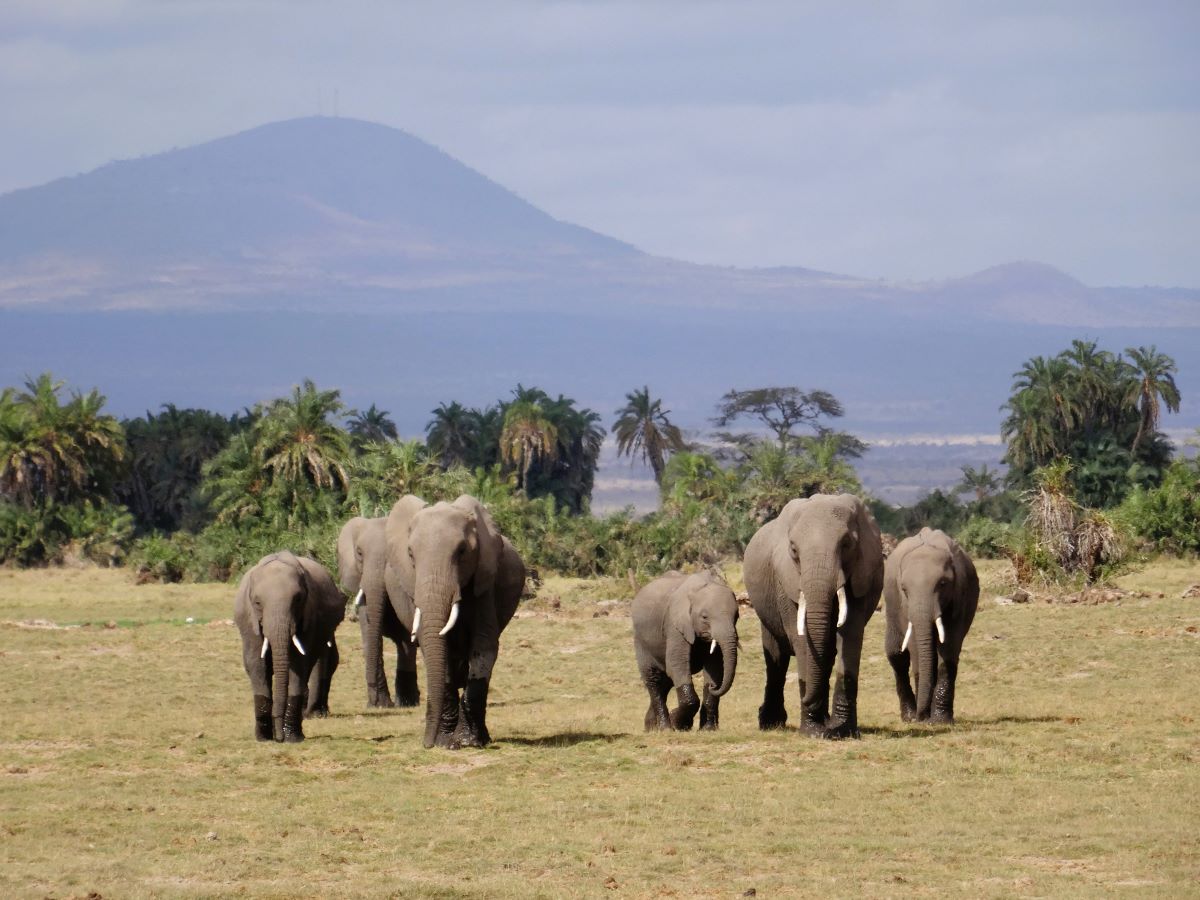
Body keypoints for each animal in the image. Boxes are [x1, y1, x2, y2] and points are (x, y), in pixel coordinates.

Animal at [233, 551, 345, 742]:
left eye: (298, 599)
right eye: (257, 603)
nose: (279, 738)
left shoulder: (309, 616)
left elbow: (299, 664)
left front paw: (292, 738)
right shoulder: (248, 620)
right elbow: (256, 664)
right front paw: (263, 738)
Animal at [384, 494, 526, 749]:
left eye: (462, 551)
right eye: (410, 554)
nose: (426, 743)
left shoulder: (484, 582)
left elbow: (483, 648)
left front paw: (471, 742)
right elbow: (443, 655)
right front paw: (445, 743)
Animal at [631, 571, 739, 731]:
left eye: (736, 616)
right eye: (704, 617)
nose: (714, 687)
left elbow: (715, 668)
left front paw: (707, 730)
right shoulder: (675, 625)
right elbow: (677, 664)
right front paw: (678, 723)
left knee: (665, 682)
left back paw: (650, 729)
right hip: (641, 641)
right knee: (653, 679)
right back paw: (665, 728)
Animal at [743, 493, 884, 739]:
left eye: (846, 544)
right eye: (793, 550)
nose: (808, 700)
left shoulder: (862, 573)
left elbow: (850, 636)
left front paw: (844, 731)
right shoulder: (785, 582)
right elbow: (801, 639)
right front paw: (813, 732)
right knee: (776, 659)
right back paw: (771, 723)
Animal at [883, 528, 979, 723]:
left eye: (942, 584)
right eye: (904, 589)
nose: (921, 717)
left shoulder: (960, 593)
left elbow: (949, 646)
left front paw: (941, 720)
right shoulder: (905, 606)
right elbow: (914, 648)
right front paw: (923, 719)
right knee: (896, 655)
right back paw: (909, 717)